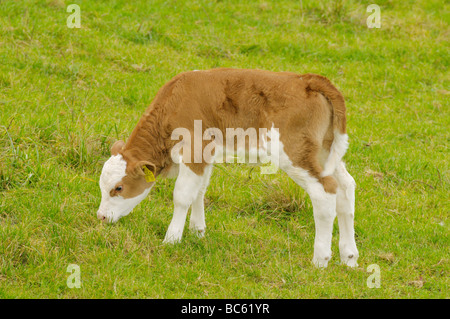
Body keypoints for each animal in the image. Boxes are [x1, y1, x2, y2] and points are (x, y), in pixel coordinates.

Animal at [96, 69, 356, 268]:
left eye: (118, 188)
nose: (101, 217)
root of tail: (308, 79)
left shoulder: (193, 150)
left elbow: (182, 196)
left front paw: (171, 239)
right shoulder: (205, 155)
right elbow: (199, 191)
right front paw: (197, 232)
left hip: (295, 153)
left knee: (324, 192)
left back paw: (320, 260)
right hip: (325, 153)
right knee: (346, 187)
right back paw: (349, 257)